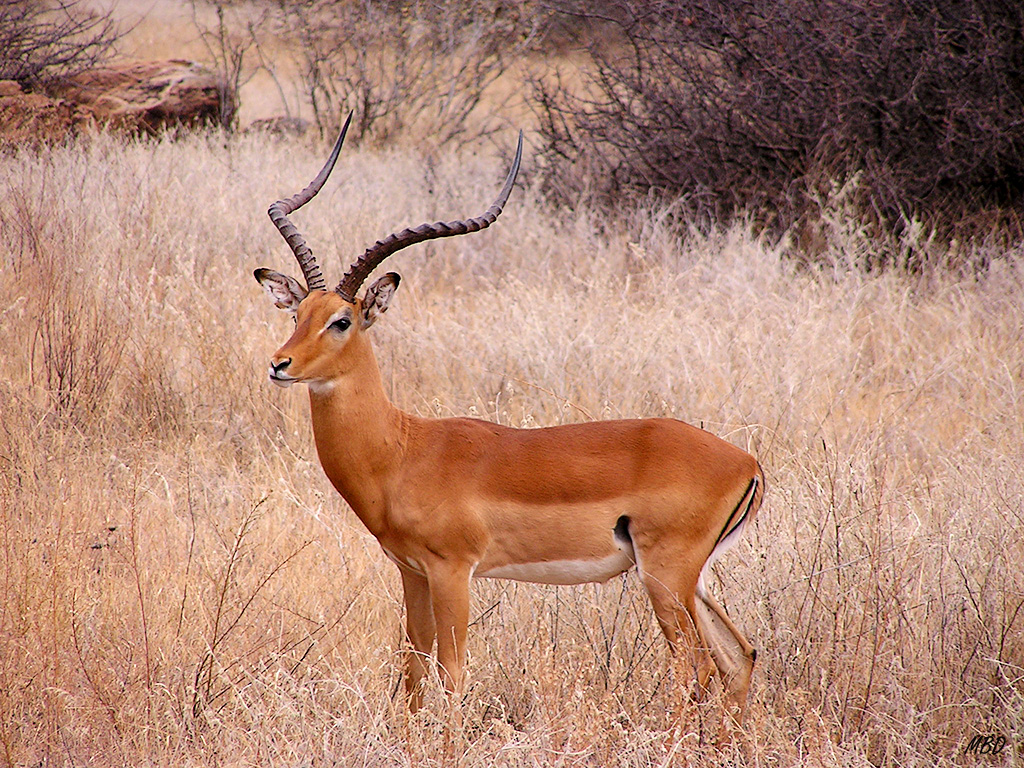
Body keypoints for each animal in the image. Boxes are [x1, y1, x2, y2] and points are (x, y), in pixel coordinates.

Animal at [254, 114, 765, 740]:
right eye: (297, 314)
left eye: (342, 321)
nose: (280, 364)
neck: (402, 449)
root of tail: (746, 462)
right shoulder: (411, 573)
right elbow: (412, 669)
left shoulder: (453, 571)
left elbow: (451, 672)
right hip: (694, 579)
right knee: (738, 654)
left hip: (664, 576)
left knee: (694, 663)